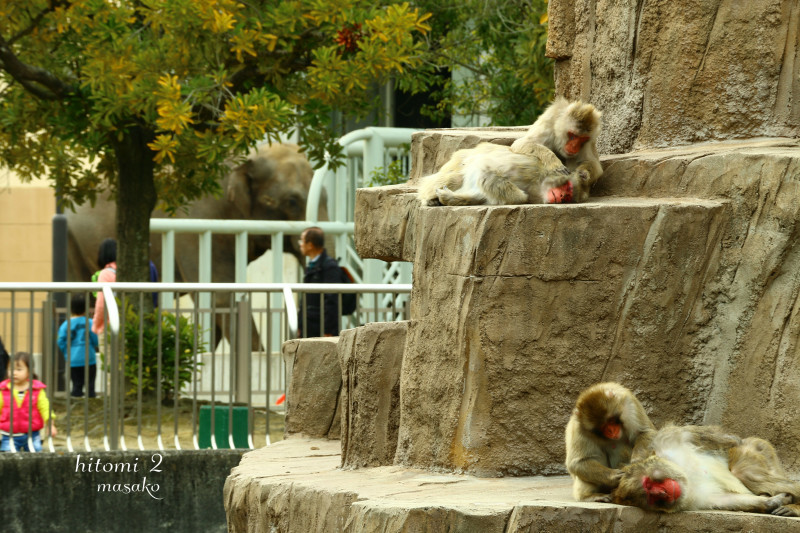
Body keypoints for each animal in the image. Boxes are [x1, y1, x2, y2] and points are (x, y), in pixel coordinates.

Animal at [418, 96, 600, 207]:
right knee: (455, 177)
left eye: (569, 195)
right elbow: (488, 171)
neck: (540, 184)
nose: (563, 198)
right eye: (567, 189)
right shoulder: (532, 170)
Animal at [608, 424, 796, 516]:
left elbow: (726, 440)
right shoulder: (697, 497)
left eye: (650, 484)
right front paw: (771, 502)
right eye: (650, 496)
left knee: (743, 468)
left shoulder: (668, 439)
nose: (661, 493)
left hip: (760, 448)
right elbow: (724, 499)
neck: (685, 473)